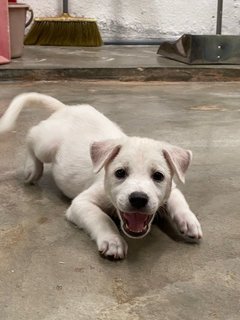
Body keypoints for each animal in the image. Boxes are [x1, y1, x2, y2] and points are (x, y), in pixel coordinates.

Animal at [0, 91, 202, 258]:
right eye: (120, 173)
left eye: (158, 176)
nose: (138, 198)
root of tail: (66, 108)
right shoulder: (81, 204)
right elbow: (102, 218)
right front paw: (113, 241)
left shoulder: (173, 188)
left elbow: (180, 201)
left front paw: (189, 221)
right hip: (46, 145)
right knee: (31, 136)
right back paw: (31, 169)